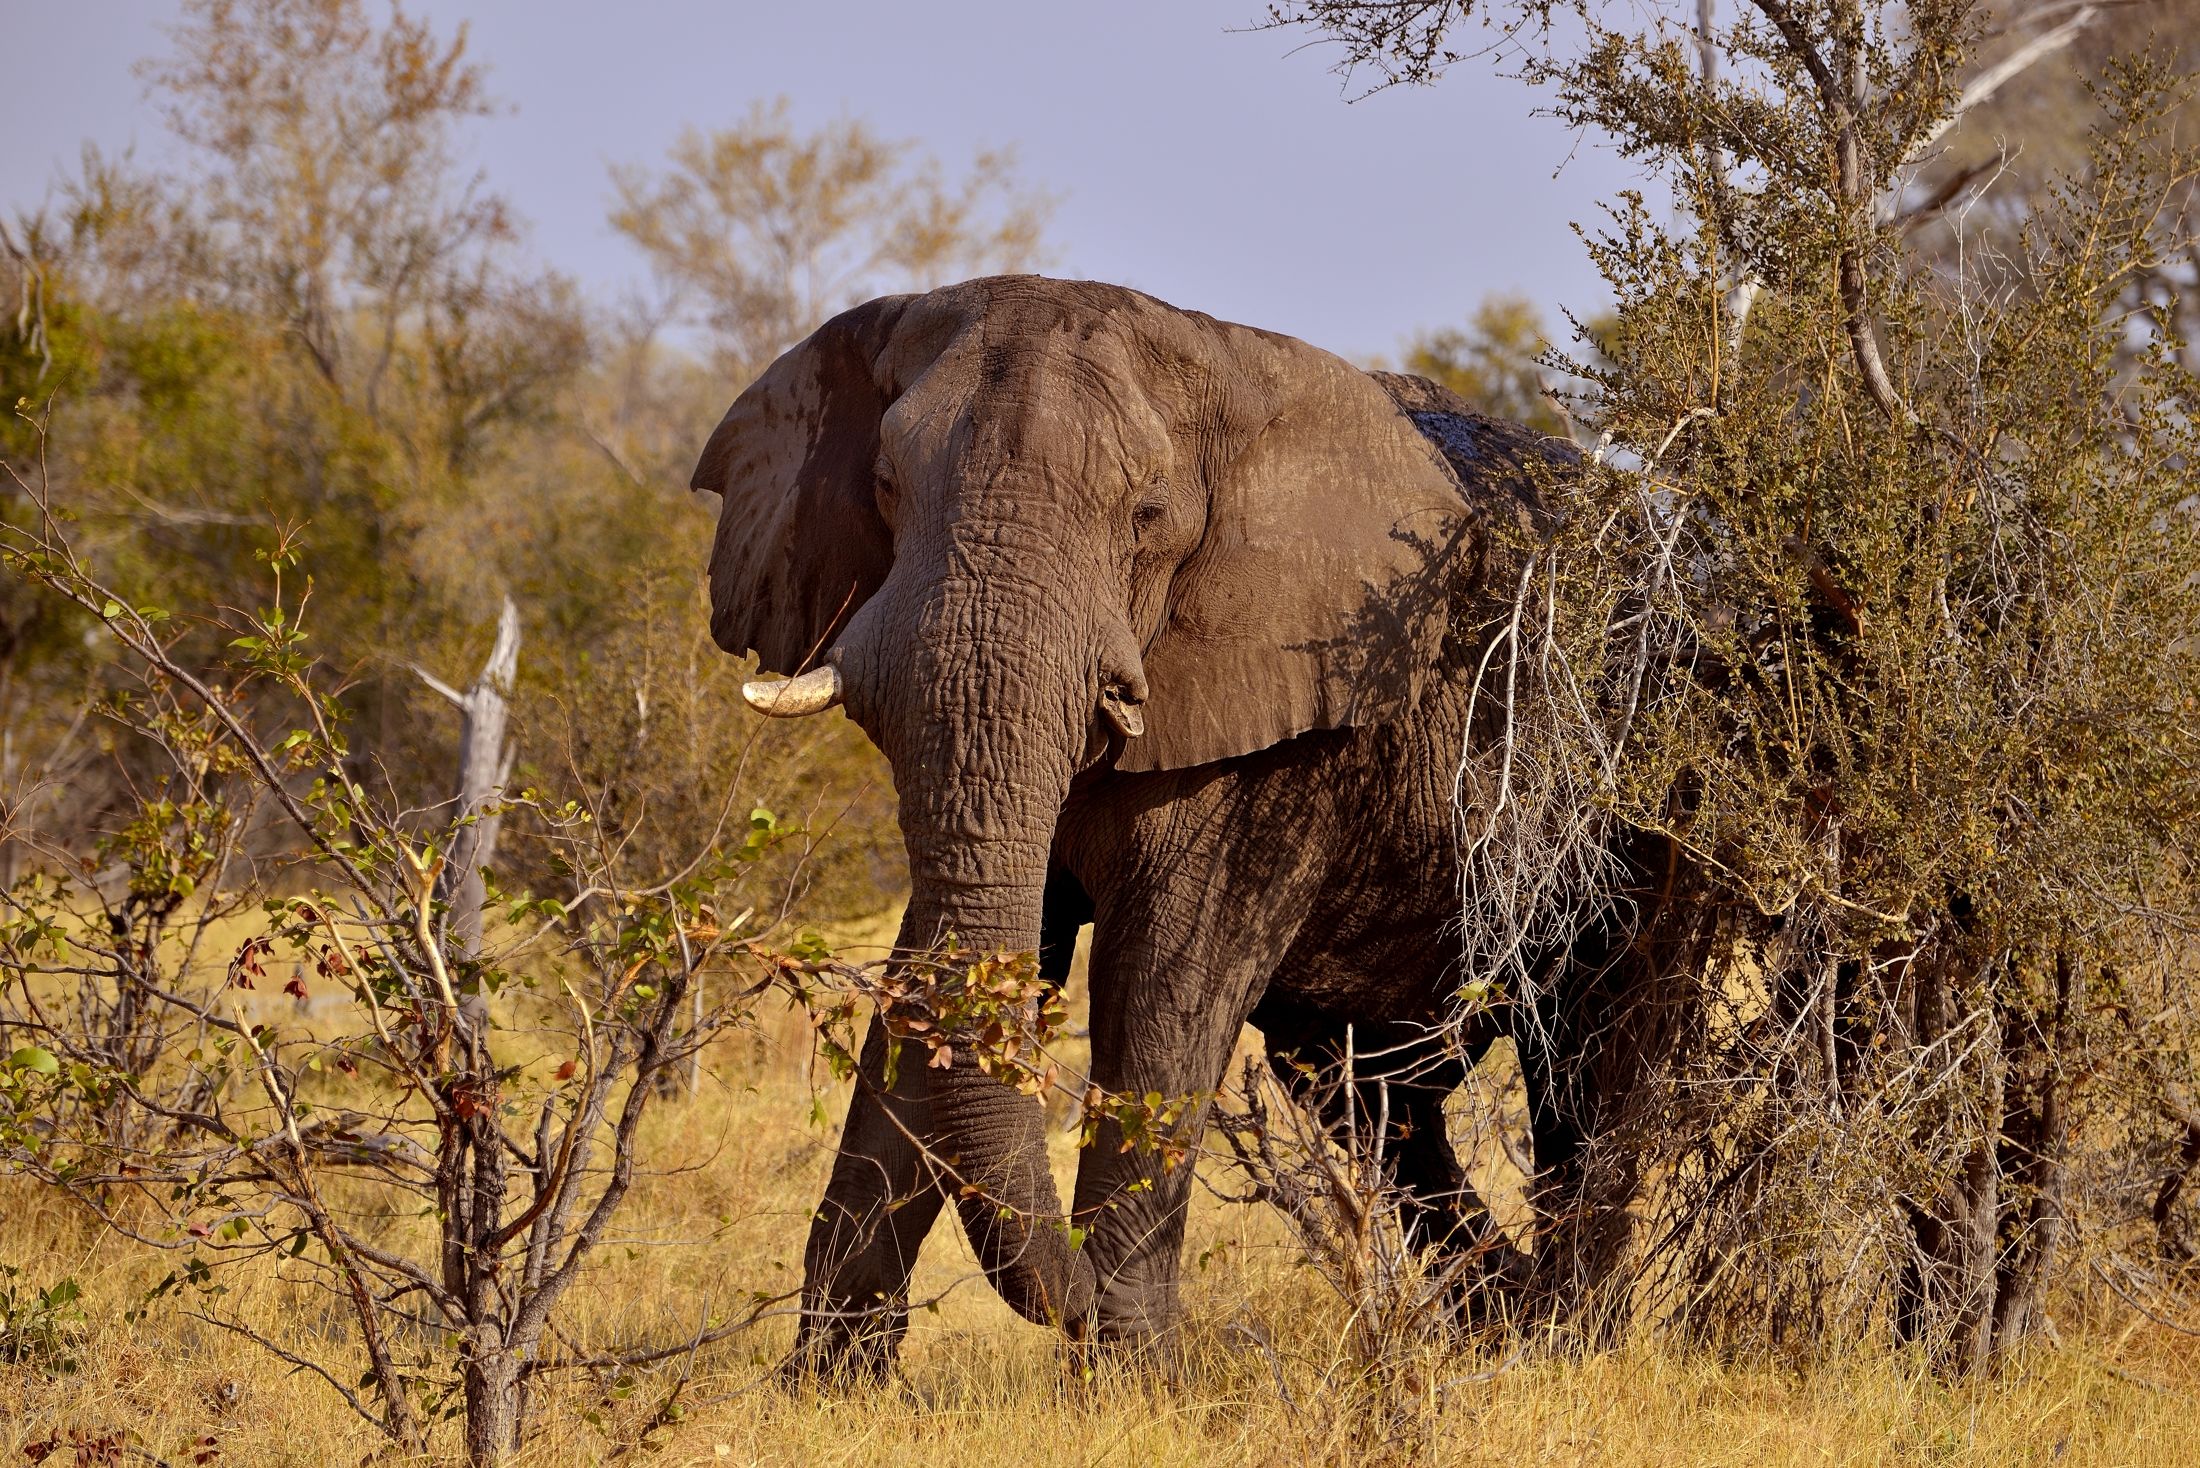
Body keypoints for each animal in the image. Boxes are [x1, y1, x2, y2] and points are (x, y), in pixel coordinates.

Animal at [691, 276, 1710, 1378]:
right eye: (882, 485)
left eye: (1146, 514)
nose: (1075, 1298)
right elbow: (936, 970)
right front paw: (828, 1387)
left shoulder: (1284, 726)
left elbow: (1165, 983)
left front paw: (1128, 1376)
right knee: (1372, 1097)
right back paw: (1503, 1315)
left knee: (1592, 1054)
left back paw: (1567, 1338)